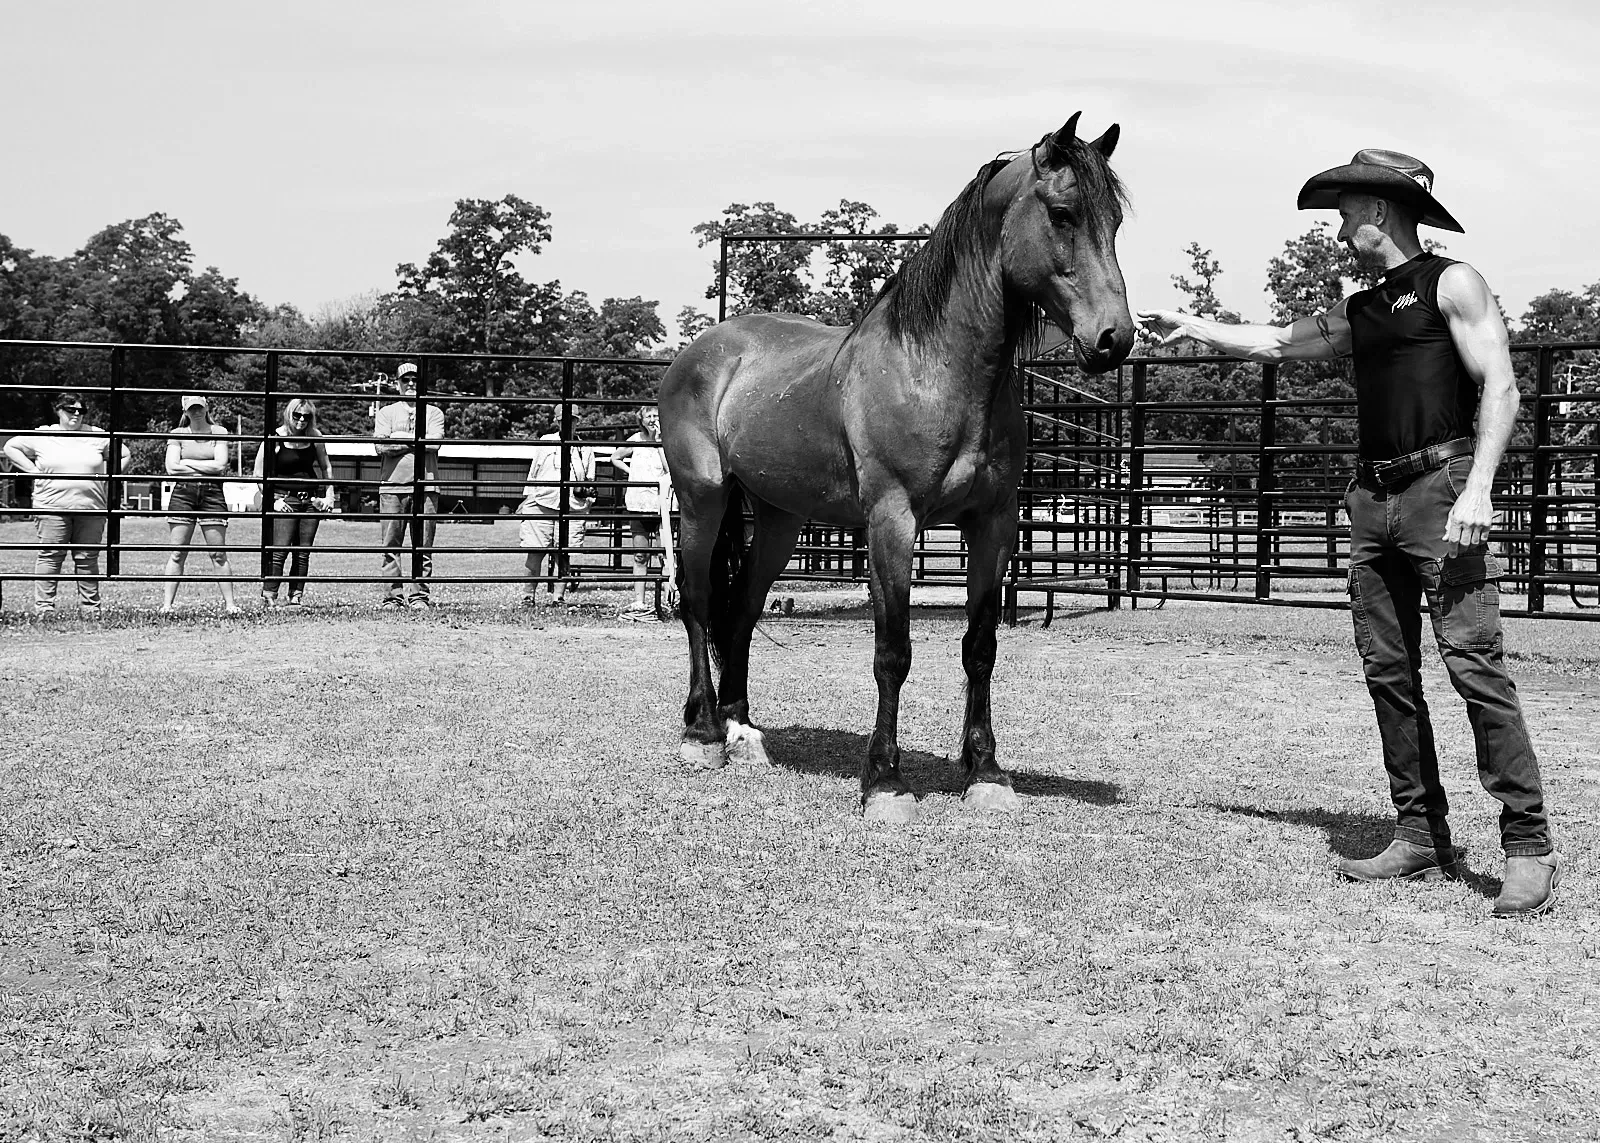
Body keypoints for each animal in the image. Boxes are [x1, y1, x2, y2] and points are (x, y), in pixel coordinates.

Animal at [658, 113, 1133, 822]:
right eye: (1062, 212)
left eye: (1116, 221)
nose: (1115, 339)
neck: (937, 370)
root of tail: (706, 350)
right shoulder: (892, 523)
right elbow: (893, 652)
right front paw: (884, 781)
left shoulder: (993, 524)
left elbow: (980, 646)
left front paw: (986, 772)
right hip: (702, 500)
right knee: (696, 602)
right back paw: (705, 733)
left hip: (779, 519)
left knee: (741, 607)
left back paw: (744, 730)